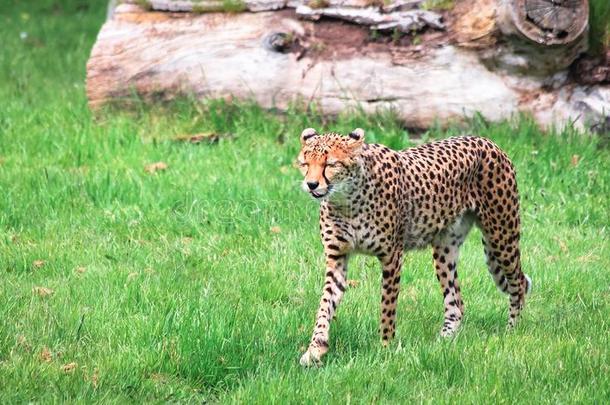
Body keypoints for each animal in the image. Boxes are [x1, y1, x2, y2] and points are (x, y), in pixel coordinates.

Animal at [296, 128, 528, 364]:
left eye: (330, 164)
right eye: (305, 163)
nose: (311, 184)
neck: (346, 201)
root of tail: (485, 140)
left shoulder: (392, 257)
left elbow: (387, 307)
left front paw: (386, 348)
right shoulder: (337, 258)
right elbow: (325, 305)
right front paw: (315, 349)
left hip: (501, 236)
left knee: (519, 283)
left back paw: (511, 330)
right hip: (445, 248)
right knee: (456, 302)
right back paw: (443, 340)